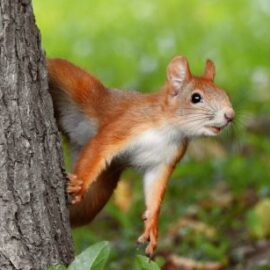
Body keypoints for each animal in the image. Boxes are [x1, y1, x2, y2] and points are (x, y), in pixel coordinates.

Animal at [46, 56, 234, 255]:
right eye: (196, 98)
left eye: (225, 93)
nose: (230, 115)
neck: (169, 128)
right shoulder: (127, 124)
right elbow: (101, 146)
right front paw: (80, 184)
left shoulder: (165, 161)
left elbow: (155, 190)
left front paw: (152, 225)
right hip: (75, 83)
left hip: (98, 191)